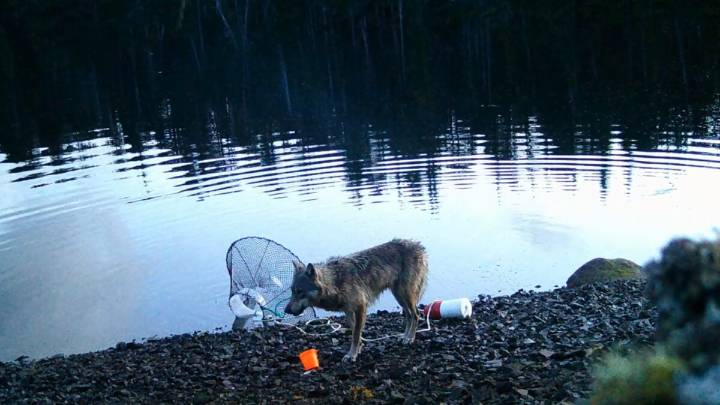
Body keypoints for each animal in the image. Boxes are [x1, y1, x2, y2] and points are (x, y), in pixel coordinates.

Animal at [284, 238, 428, 362]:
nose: (286, 310)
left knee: (416, 314)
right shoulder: (348, 311)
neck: (335, 282)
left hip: (405, 295)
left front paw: (351, 355)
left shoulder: (360, 307)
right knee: (409, 315)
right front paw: (358, 350)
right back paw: (405, 337)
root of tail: (418, 246)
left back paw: (410, 338)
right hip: (399, 297)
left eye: (300, 292)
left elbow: (356, 334)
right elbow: (355, 333)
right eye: (292, 291)